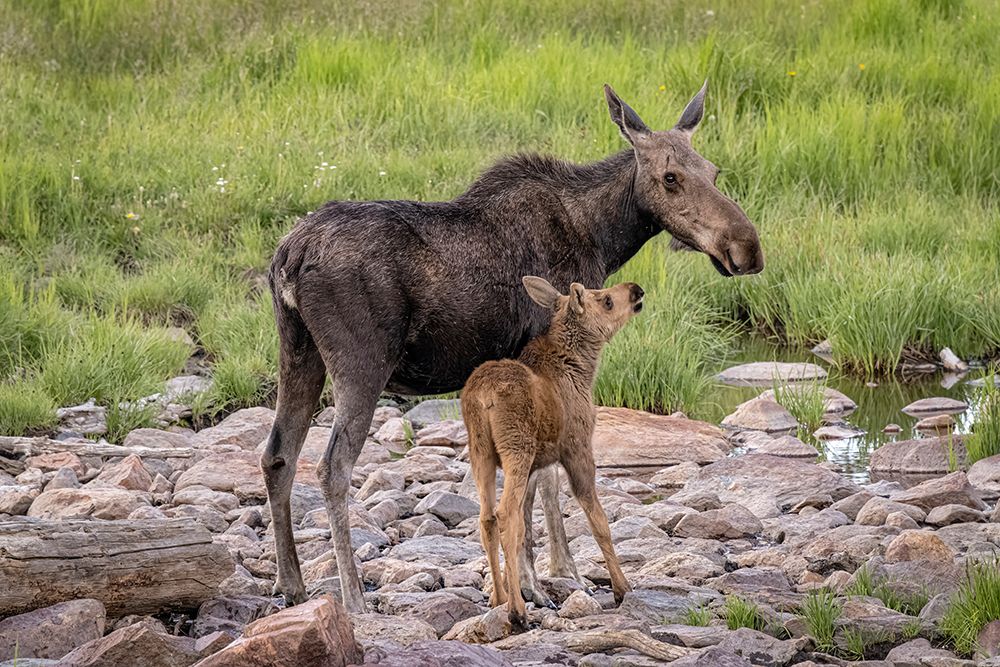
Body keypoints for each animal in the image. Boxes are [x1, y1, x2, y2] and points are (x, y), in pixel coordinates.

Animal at [460, 276, 640, 632]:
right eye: (607, 300)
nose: (636, 290)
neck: (583, 369)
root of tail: (483, 397)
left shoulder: (537, 465)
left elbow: (528, 530)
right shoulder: (577, 447)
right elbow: (598, 521)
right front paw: (621, 587)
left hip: (481, 452)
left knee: (487, 517)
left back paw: (499, 598)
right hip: (516, 448)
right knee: (505, 514)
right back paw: (517, 610)